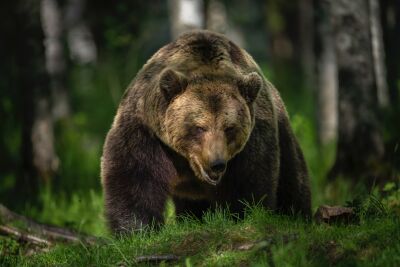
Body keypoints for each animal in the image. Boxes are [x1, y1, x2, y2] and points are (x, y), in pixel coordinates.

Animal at [101, 29, 312, 234]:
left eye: (229, 128)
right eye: (199, 127)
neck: (187, 163)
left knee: (293, 182)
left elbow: (250, 182)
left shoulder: (254, 140)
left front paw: (244, 217)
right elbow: (134, 177)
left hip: (283, 133)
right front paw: (138, 229)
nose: (216, 164)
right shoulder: (146, 131)